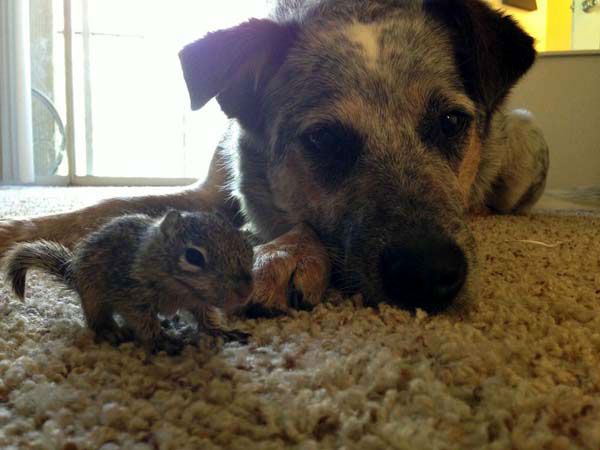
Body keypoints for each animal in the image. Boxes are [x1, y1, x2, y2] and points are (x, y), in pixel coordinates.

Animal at [0, 0, 548, 316]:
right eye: (324, 139)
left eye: (451, 122)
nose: (429, 275)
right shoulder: (207, 193)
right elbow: (100, 208)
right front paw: (17, 228)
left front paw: (283, 255)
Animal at [4, 209, 253, 354]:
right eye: (193, 256)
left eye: (248, 247)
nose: (245, 292)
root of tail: (73, 274)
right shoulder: (130, 294)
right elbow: (142, 320)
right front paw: (161, 340)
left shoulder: (201, 302)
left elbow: (207, 318)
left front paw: (220, 332)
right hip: (93, 294)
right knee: (96, 320)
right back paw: (110, 331)